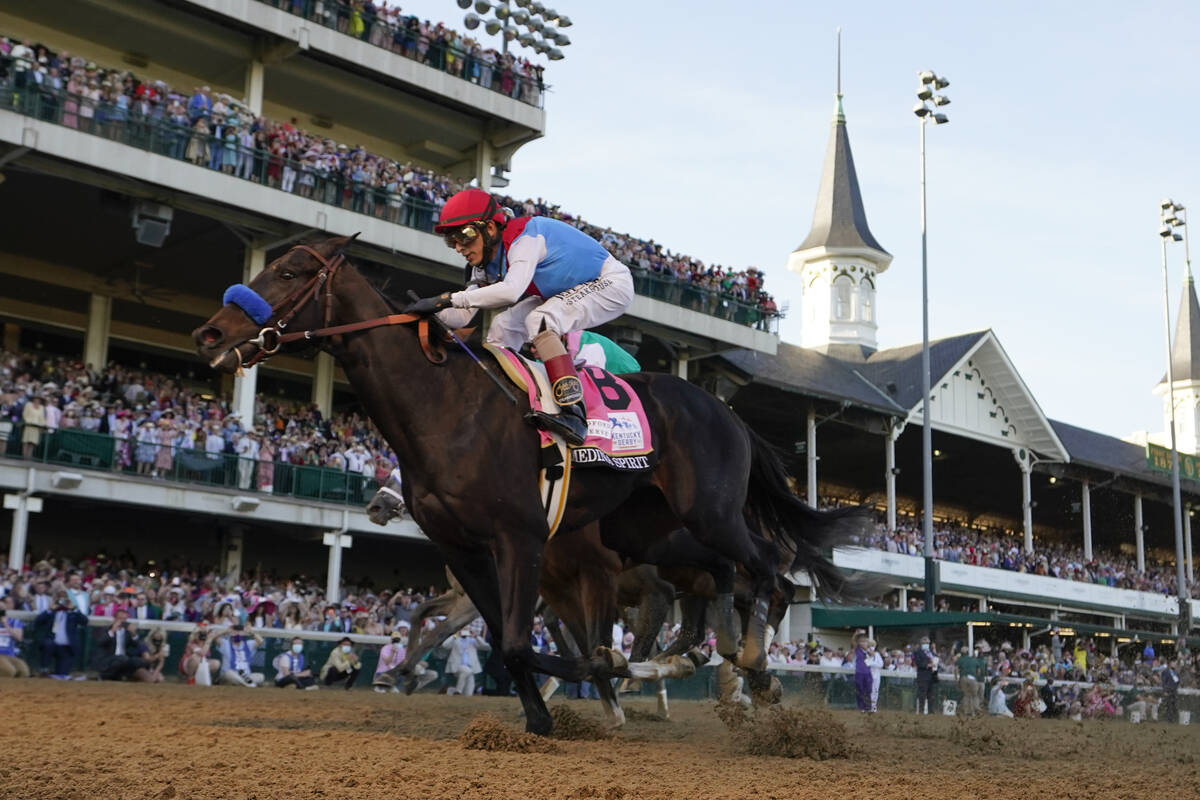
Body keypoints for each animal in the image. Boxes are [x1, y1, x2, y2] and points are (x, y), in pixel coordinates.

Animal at [194, 236, 864, 734]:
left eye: (288, 271)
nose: (210, 334)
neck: (445, 406)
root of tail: (728, 413)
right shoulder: (469, 550)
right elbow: (501, 639)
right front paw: (543, 714)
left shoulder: (521, 539)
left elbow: (525, 644)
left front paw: (596, 675)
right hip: (645, 530)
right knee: (726, 578)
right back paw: (725, 663)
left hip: (710, 511)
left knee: (770, 568)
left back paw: (754, 664)